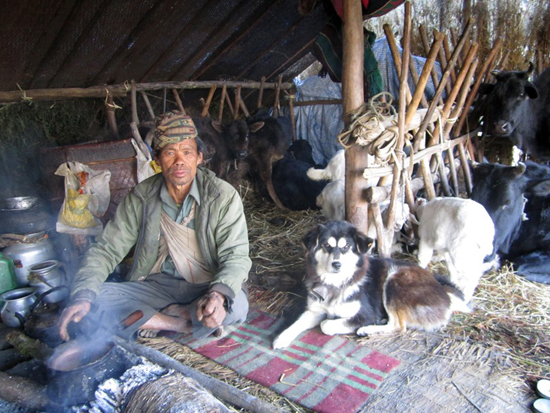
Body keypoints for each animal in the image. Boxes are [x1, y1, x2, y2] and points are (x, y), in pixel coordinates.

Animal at [272, 219, 470, 348]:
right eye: (326, 245)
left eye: (346, 247)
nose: (336, 264)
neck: (336, 284)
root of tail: (442, 288)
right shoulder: (314, 310)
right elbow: (297, 323)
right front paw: (281, 337)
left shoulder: (363, 313)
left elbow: (326, 325)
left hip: (394, 280)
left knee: (399, 326)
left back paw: (368, 329)